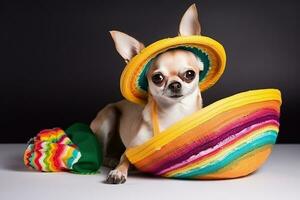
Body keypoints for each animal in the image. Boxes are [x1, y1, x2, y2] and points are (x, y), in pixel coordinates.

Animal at [90, 3, 204, 184]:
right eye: (157, 78)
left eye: (189, 74)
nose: (175, 84)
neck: (174, 112)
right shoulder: (131, 149)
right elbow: (124, 159)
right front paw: (118, 172)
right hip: (109, 116)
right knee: (103, 154)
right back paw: (112, 160)